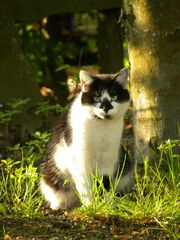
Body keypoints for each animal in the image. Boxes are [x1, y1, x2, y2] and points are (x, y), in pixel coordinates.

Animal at [40, 68, 131, 210]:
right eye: (96, 98)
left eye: (114, 97)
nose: (106, 107)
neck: (101, 128)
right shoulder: (80, 160)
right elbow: (86, 186)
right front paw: (91, 206)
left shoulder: (108, 159)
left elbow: (104, 182)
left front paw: (106, 205)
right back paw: (60, 205)